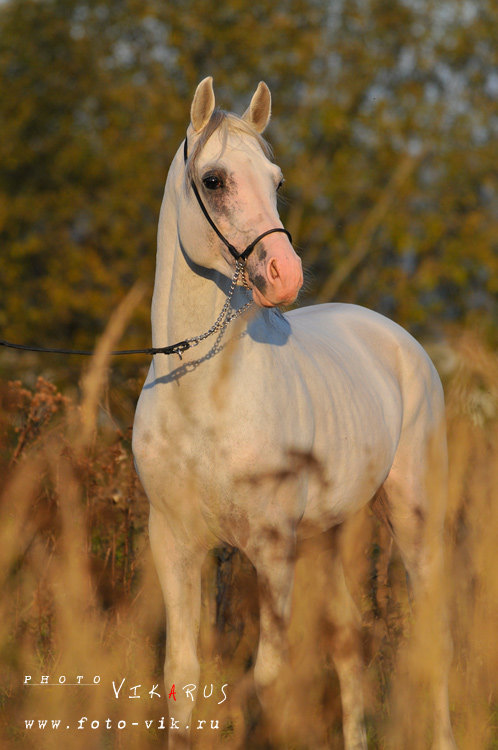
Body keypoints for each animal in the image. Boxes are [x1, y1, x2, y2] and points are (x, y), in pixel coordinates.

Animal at [132, 79, 456, 748]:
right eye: (214, 180)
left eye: (276, 180)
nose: (285, 275)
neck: (203, 397)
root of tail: (395, 338)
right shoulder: (175, 543)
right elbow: (183, 676)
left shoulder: (272, 547)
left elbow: (266, 678)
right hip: (326, 537)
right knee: (349, 642)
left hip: (411, 514)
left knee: (430, 629)